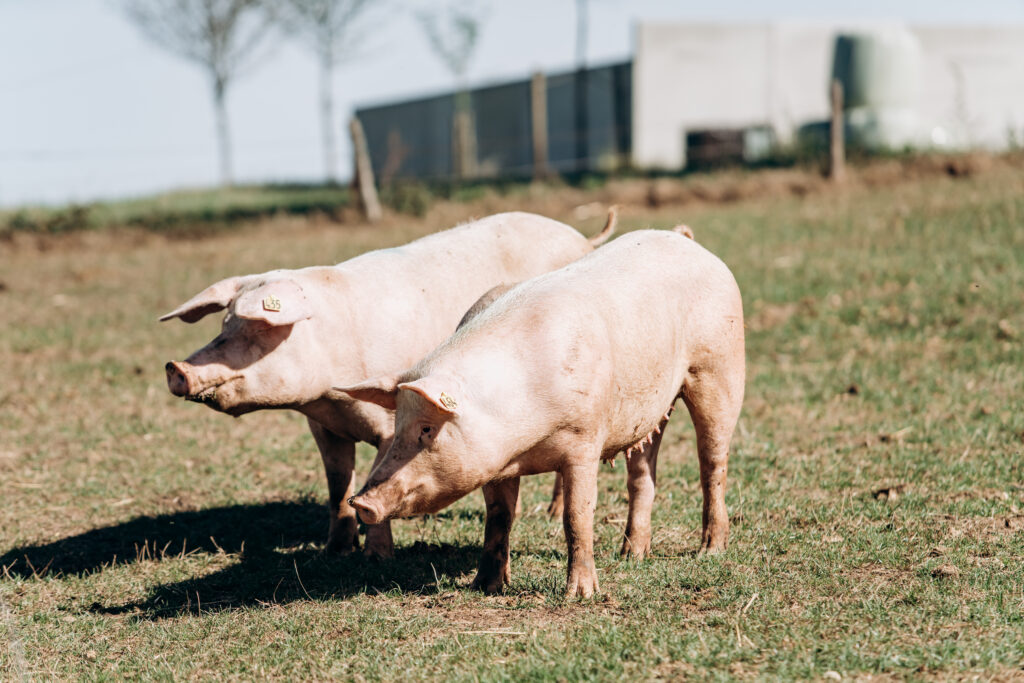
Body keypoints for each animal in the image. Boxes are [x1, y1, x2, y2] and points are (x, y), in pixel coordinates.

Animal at [161, 211, 615, 558]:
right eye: (224, 324)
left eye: (257, 329)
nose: (176, 367)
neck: (329, 393)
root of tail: (580, 236)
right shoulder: (323, 428)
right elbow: (337, 486)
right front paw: (336, 551)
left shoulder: (386, 422)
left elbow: (374, 473)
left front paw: (377, 557)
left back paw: (552, 513)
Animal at [335, 226, 744, 597]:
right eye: (399, 422)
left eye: (427, 429)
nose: (361, 502)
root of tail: (685, 239)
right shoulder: (494, 463)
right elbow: (499, 517)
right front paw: (485, 587)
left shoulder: (585, 439)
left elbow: (576, 516)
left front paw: (580, 595)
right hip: (650, 409)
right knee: (642, 473)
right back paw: (631, 555)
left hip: (719, 369)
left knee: (712, 461)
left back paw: (710, 550)